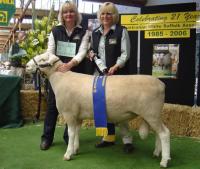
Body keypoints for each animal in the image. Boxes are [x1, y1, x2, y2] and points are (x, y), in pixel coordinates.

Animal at [25, 52, 171, 168]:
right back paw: (157, 153)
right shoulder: (78, 116)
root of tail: (162, 84)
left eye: (43, 59)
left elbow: (71, 133)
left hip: (151, 113)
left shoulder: (69, 113)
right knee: (159, 133)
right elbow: (76, 132)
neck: (61, 79)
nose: (26, 66)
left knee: (164, 134)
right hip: (153, 114)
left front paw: (67, 154)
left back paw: (164, 161)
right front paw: (75, 149)